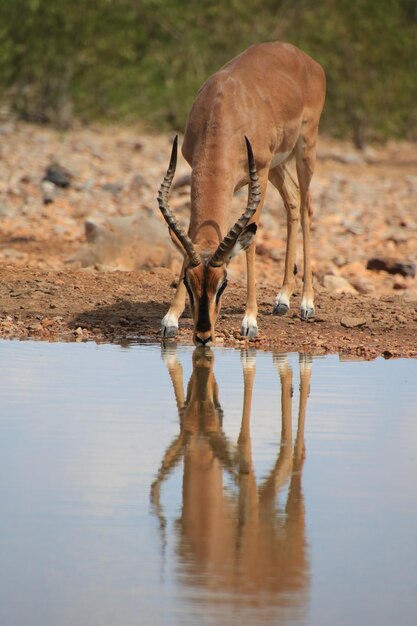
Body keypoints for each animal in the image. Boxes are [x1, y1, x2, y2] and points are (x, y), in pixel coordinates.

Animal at [156, 42, 324, 346]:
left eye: (224, 283)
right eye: (187, 281)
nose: (203, 335)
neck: (224, 110)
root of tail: (305, 57)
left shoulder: (259, 173)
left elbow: (252, 241)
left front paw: (250, 322)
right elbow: (191, 231)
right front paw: (170, 319)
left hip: (304, 149)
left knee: (306, 207)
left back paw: (306, 304)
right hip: (278, 165)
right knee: (293, 202)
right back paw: (282, 300)